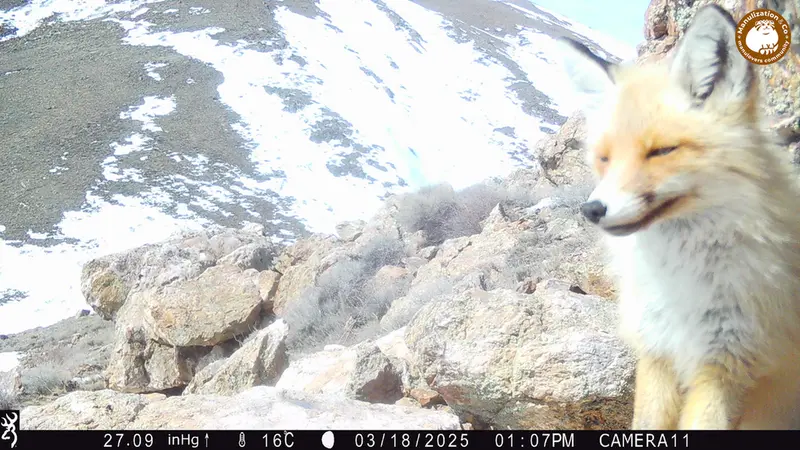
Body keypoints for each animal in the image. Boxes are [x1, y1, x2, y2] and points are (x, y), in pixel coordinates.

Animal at [557, 4, 800, 430]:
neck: (679, 284)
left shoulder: (727, 365)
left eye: (661, 151)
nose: (592, 209)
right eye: (604, 159)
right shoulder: (656, 350)